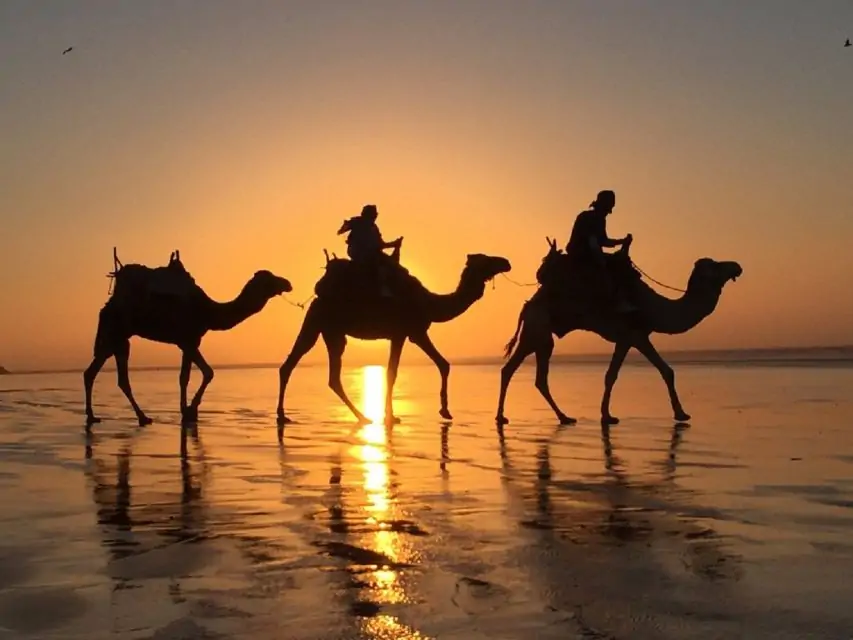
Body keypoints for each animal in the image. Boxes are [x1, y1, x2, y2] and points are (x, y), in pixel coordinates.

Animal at [84, 249, 290, 424]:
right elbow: (204, 373)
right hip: (116, 333)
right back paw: (139, 417)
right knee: (117, 377)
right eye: (270, 279)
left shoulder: (188, 343)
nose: (288, 283)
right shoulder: (189, 341)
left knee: (95, 373)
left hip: (116, 338)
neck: (209, 311)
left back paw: (96, 416)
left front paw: (187, 411)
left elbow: (189, 376)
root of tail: (106, 307)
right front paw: (190, 411)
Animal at [276, 248, 510, 428]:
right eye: (486, 259)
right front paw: (435, 412)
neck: (430, 302)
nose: (506, 262)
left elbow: (435, 365)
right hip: (324, 323)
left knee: (309, 369)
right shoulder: (409, 332)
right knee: (311, 368)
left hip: (324, 327)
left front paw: (399, 414)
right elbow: (399, 372)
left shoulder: (407, 333)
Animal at [496, 238, 744, 428]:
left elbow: (611, 375)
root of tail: (527, 305)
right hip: (539, 331)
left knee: (521, 373)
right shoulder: (636, 334)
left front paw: (607, 415)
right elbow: (666, 370)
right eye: (716, 265)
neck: (653, 307)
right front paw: (681, 414)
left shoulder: (625, 339)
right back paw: (549, 417)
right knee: (527, 373)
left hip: (536, 335)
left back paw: (549, 417)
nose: (737, 266)